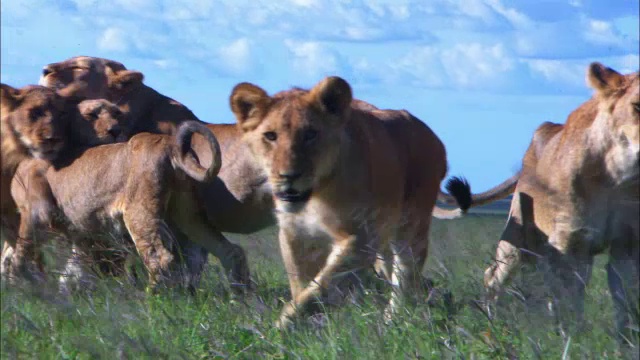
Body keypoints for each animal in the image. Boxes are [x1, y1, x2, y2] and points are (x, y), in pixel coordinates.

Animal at [10, 121, 250, 292]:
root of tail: (172, 146)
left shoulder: (35, 214)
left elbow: (19, 257)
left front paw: (22, 290)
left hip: (139, 211)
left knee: (160, 258)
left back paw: (152, 301)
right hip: (187, 213)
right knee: (230, 251)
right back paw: (242, 300)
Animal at [228, 75, 516, 326]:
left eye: (310, 134)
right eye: (270, 136)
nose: (288, 176)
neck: (317, 195)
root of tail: (434, 137)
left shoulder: (361, 238)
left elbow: (319, 288)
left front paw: (283, 328)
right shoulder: (294, 234)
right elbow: (301, 285)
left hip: (410, 229)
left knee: (406, 278)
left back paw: (394, 321)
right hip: (384, 242)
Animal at [482, 63, 636, 342]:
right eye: (637, 106)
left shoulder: (627, 242)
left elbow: (625, 299)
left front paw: (626, 342)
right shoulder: (569, 243)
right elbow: (569, 302)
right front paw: (571, 341)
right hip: (516, 241)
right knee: (493, 277)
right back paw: (493, 326)